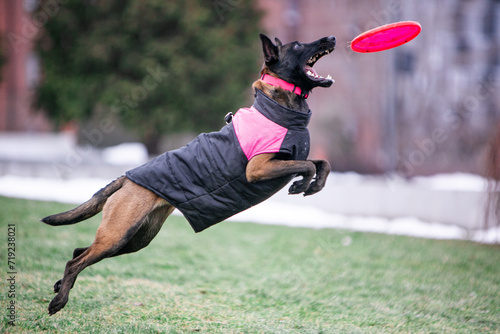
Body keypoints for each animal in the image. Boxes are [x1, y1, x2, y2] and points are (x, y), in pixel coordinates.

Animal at [42, 32, 336, 314]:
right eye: (298, 45)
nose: (331, 39)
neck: (281, 106)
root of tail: (127, 178)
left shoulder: (288, 159)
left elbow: (322, 163)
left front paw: (315, 185)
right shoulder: (258, 168)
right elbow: (309, 164)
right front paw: (303, 184)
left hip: (135, 238)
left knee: (79, 252)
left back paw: (60, 285)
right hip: (118, 235)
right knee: (75, 261)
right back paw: (59, 300)